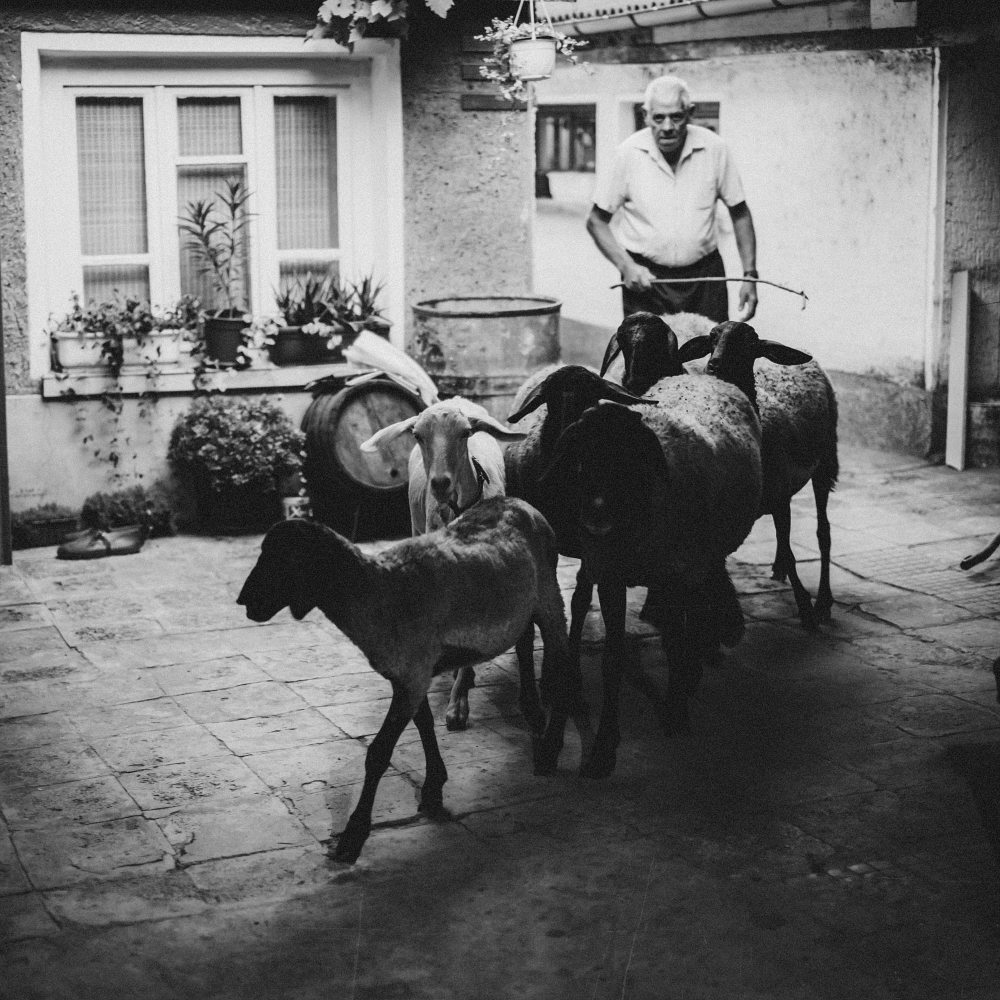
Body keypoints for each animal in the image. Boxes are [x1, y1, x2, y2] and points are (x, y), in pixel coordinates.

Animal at [236, 501, 577, 863]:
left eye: (283, 557)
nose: (243, 601)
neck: (376, 589)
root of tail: (519, 503)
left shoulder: (413, 674)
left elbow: (378, 752)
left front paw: (353, 836)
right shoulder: (410, 674)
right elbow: (424, 724)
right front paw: (433, 788)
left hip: (549, 596)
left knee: (565, 669)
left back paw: (549, 750)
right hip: (522, 607)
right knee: (524, 642)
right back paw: (533, 714)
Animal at [542, 374, 763, 778]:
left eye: (627, 459)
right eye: (581, 456)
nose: (595, 512)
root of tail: (702, 375)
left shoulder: (674, 572)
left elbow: (674, 643)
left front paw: (676, 712)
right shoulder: (610, 576)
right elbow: (612, 660)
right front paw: (603, 748)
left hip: (699, 557)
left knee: (696, 610)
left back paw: (695, 667)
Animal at [677, 321, 838, 630]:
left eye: (750, 343)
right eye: (712, 338)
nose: (714, 364)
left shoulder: (780, 498)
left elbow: (791, 552)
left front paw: (806, 611)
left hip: (826, 460)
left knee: (823, 532)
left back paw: (824, 601)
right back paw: (778, 569)